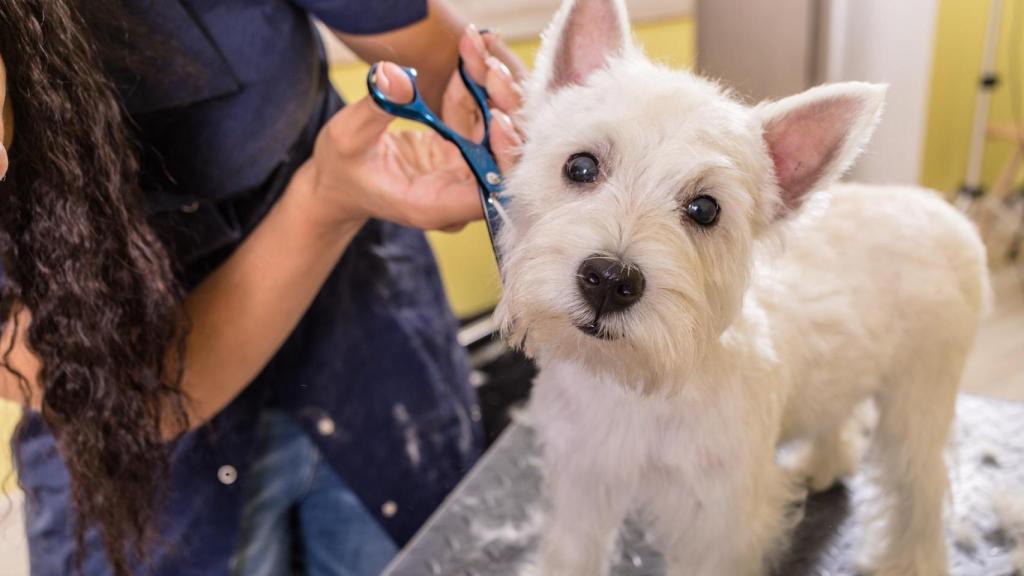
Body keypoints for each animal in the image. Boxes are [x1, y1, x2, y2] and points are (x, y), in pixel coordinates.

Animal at [495, 1, 991, 573]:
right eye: (580, 166)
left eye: (704, 209)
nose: (609, 281)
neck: (634, 382)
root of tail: (946, 212)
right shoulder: (583, 480)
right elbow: (573, 551)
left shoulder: (719, 521)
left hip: (918, 403)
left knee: (921, 493)